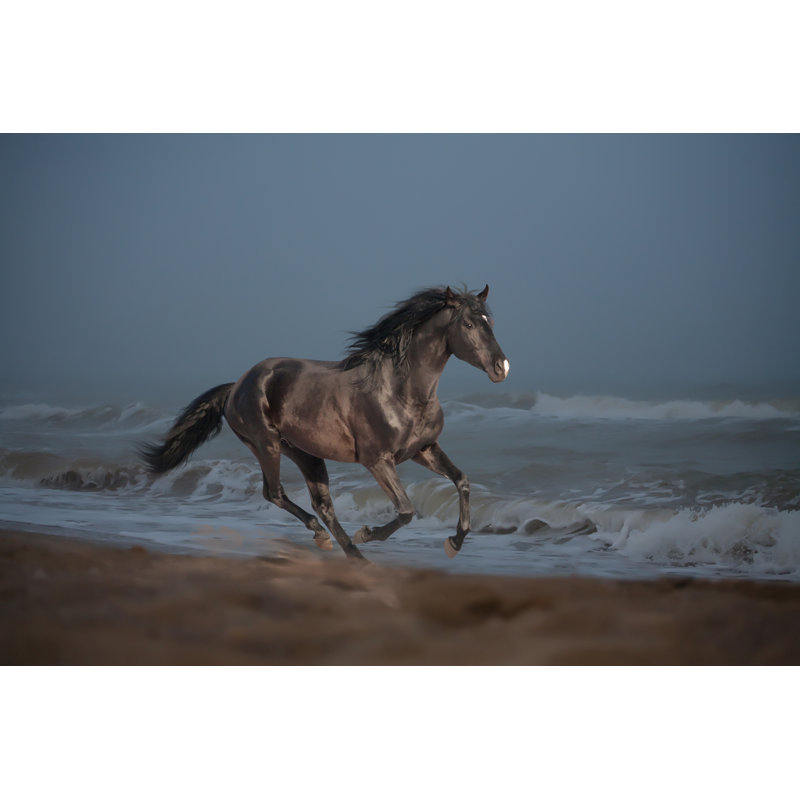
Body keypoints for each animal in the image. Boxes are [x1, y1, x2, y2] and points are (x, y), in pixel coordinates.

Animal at [140, 285, 509, 560]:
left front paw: (454, 543)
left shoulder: (424, 449)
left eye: (490, 321)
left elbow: (461, 481)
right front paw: (368, 532)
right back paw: (332, 540)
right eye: (469, 325)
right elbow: (406, 510)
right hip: (266, 444)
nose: (501, 367)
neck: (400, 390)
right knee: (275, 493)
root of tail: (237, 386)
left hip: (306, 453)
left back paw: (349, 552)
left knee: (321, 503)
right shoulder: (378, 460)